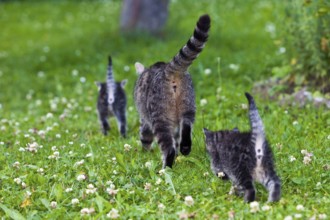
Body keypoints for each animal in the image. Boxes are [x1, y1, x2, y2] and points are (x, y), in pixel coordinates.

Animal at [134, 14, 211, 168]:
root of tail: (168, 70)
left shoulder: (145, 118)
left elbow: (145, 135)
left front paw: (145, 152)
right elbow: (175, 138)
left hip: (159, 114)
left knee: (167, 145)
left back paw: (166, 166)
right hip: (188, 102)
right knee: (186, 124)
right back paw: (185, 146)